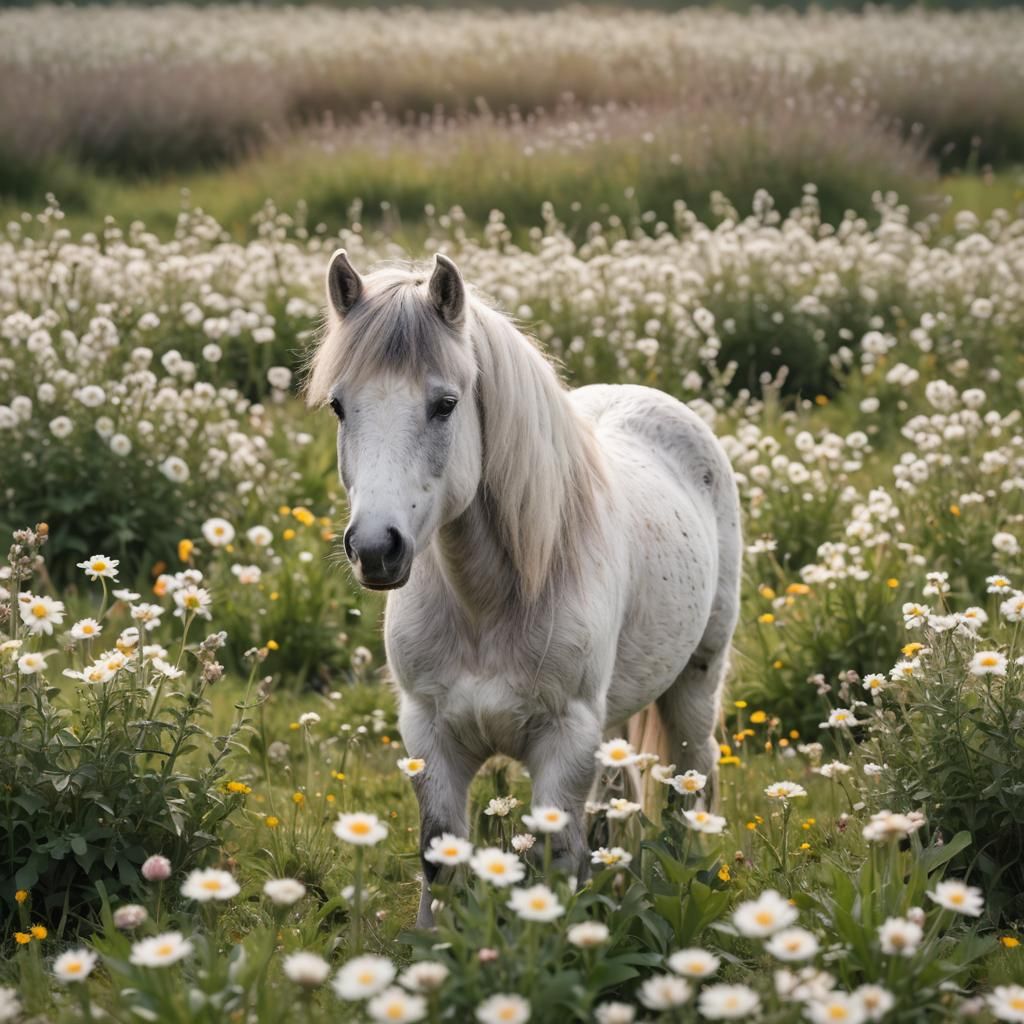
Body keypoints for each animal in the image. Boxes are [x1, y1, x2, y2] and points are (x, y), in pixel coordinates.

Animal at [306, 249, 741, 927]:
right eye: (339, 406)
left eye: (445, 405)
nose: (377, 548)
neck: (486, 605)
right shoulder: (429, 737)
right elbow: (439, 856)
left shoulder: (565, 743)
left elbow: (557, 861)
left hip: (695, 685)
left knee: (687, 788)